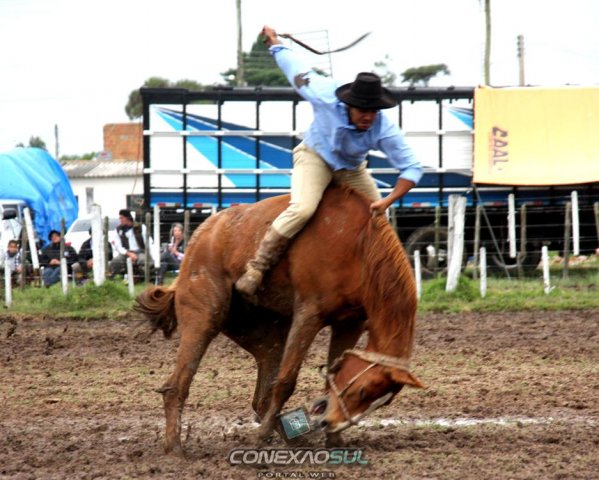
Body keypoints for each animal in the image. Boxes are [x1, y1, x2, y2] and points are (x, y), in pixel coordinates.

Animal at [135, 184, 424, 456]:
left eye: (383, 401)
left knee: (261, 395)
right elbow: (286, 382)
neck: (361, 245)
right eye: (363, 390)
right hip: (204, 316)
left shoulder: (350, 322)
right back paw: (175, 447)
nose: (330, 422)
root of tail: (201, 235)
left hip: (264, 334)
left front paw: (335, 441)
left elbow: (329, 374)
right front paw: (261, 436)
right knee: (178, 385)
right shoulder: (309, 315)